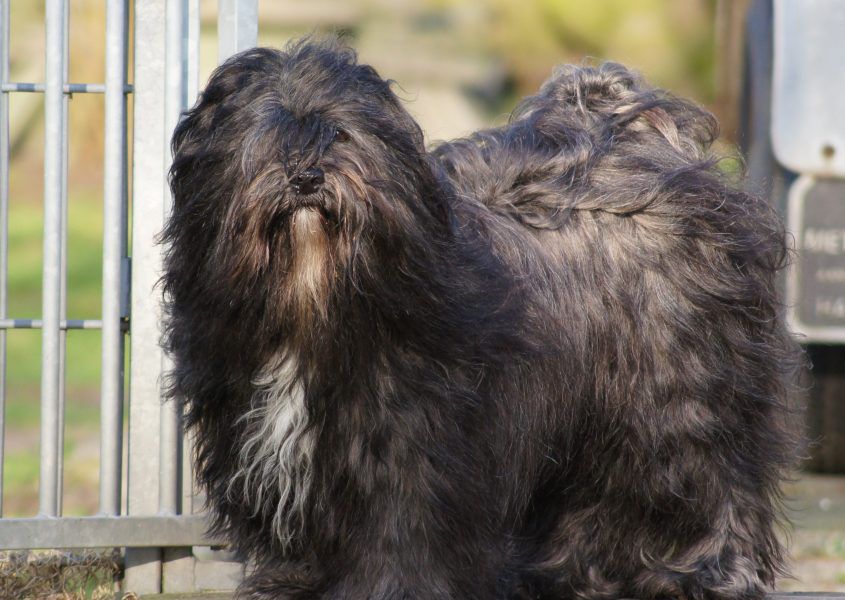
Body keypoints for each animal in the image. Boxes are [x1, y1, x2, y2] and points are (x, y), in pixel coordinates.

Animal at [162, 38, 800, 600]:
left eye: (340, 134)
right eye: (266, 138)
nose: (306, 177)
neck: (314, 309)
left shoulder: (417, 442)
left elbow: (403, 530)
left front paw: (393, 589)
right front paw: (291, 585)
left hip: (682, 392)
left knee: (714, 474)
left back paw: (712, 570)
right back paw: (571, 573)